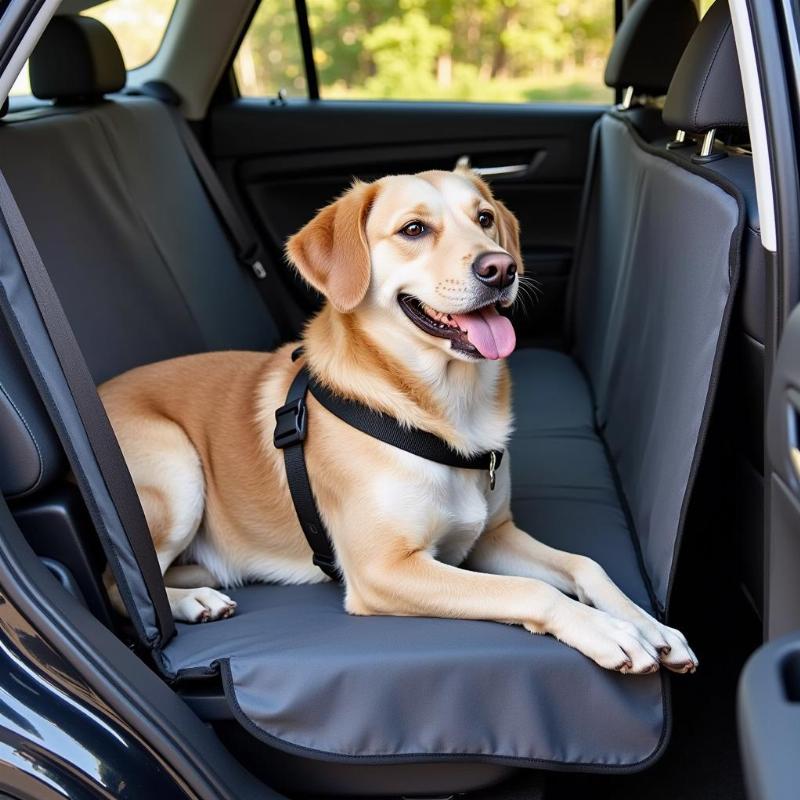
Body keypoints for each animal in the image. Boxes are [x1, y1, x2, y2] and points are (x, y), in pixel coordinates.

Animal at [100, 169, 696, 676]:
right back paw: (193, 600)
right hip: (177, 470)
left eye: (484, 218)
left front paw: (649, 626)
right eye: (414, 229)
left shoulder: (491, 536)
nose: (501, 268)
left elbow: (586, 565)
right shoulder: (384, 570)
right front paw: (612, 633)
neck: (447, 409)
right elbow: (528, 591)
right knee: (122, 584)